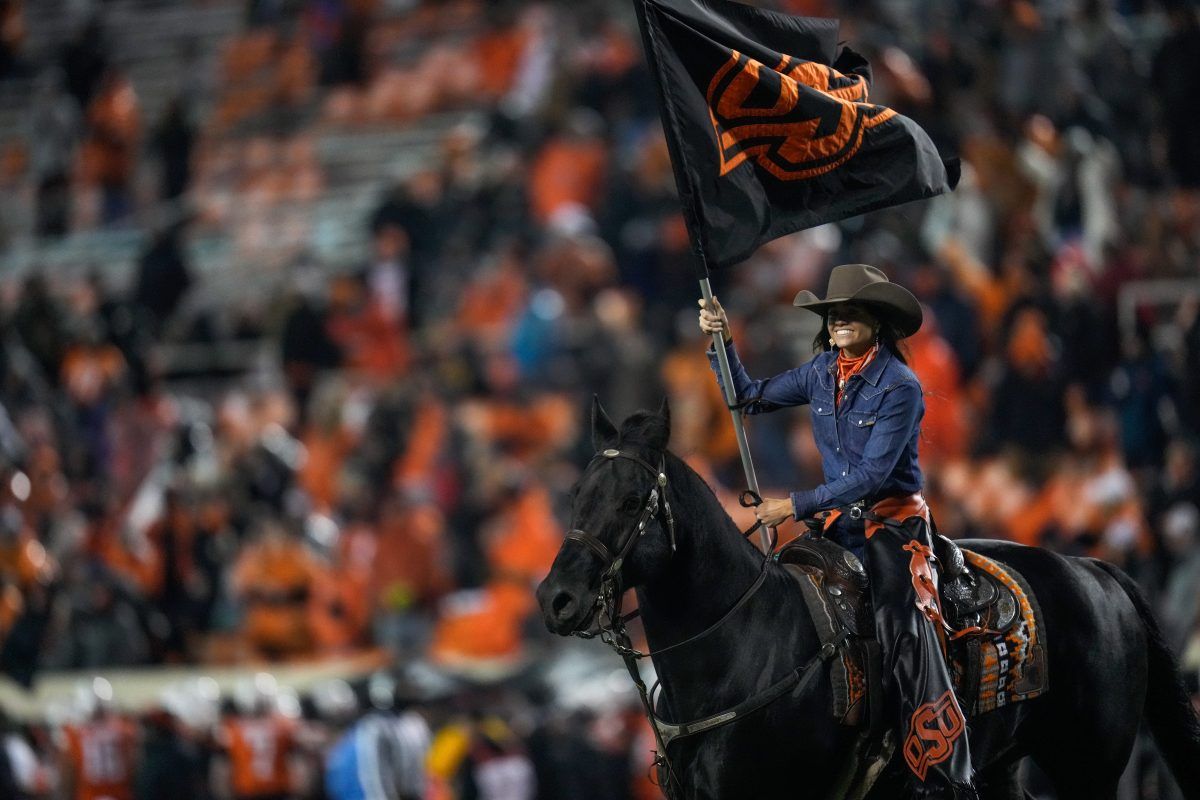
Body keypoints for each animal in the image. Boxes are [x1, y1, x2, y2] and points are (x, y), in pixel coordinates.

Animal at [540, 402, 1200, 796]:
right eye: (575, 494)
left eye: (631, 501)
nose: (556, 598)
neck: (740, 647)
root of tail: (1094, 571)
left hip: (1089, 768)